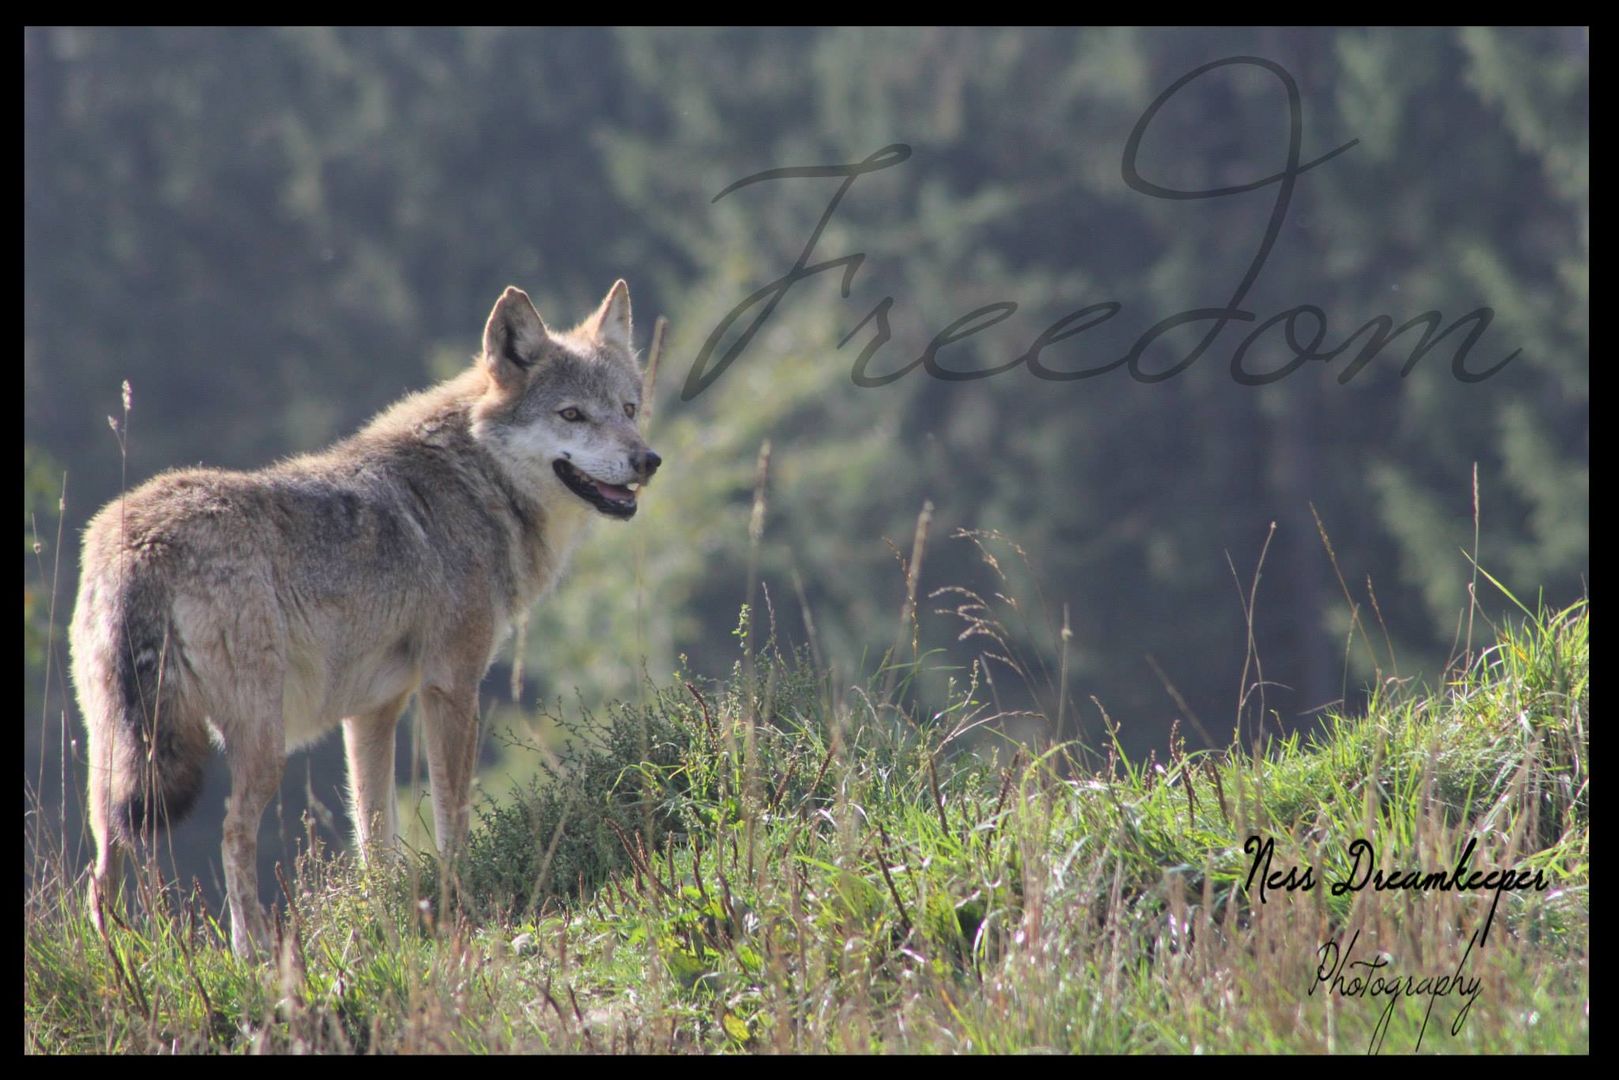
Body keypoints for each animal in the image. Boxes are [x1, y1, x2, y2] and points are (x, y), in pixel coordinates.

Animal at [69, 278, 650, 952]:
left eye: (629, 409)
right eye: (572, 415)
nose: (648, 460)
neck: (477, 485)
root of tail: (137, 543)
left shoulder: (372, 712)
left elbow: (376, 836)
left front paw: (386, 918)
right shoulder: (451, 687)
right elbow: (452, 816)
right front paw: (458, 895)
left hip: (118, 756)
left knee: (105, 862)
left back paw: (119, 962)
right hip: (260, 746)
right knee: (232, 836)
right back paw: (255, 954)